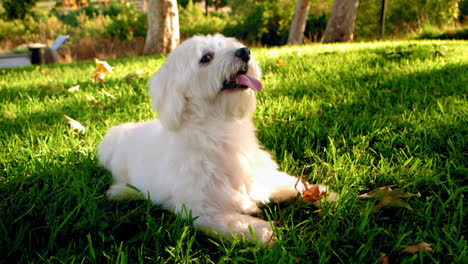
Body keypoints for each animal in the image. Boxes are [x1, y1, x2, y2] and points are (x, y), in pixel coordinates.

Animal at [98, 34, 330, 244]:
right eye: (206, 57)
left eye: (231, 44)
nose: (245, 52)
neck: (220, 129)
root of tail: (121, 133)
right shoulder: (202, 210)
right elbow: (243, 224)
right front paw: (268, 234)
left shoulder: (262, 176)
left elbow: (294, 185)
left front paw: (325, 196)